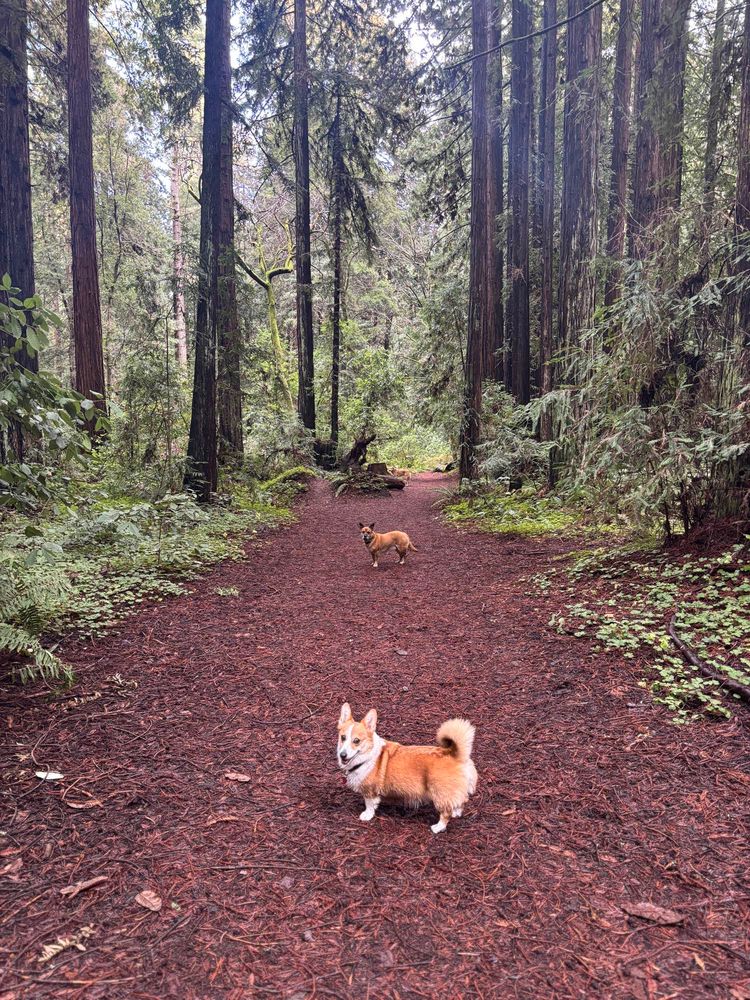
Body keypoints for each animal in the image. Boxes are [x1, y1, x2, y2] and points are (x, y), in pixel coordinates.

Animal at [336, 703, 478, 834]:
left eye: (356, 741)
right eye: (343, 737)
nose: (342, 755)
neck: (367, 756)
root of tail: (454, 754)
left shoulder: (370, 791)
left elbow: (369, 804)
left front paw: (367, 815)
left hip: (439, 793)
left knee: (445, 813)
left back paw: (438, 827)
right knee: (461, 800)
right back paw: (456, 812)